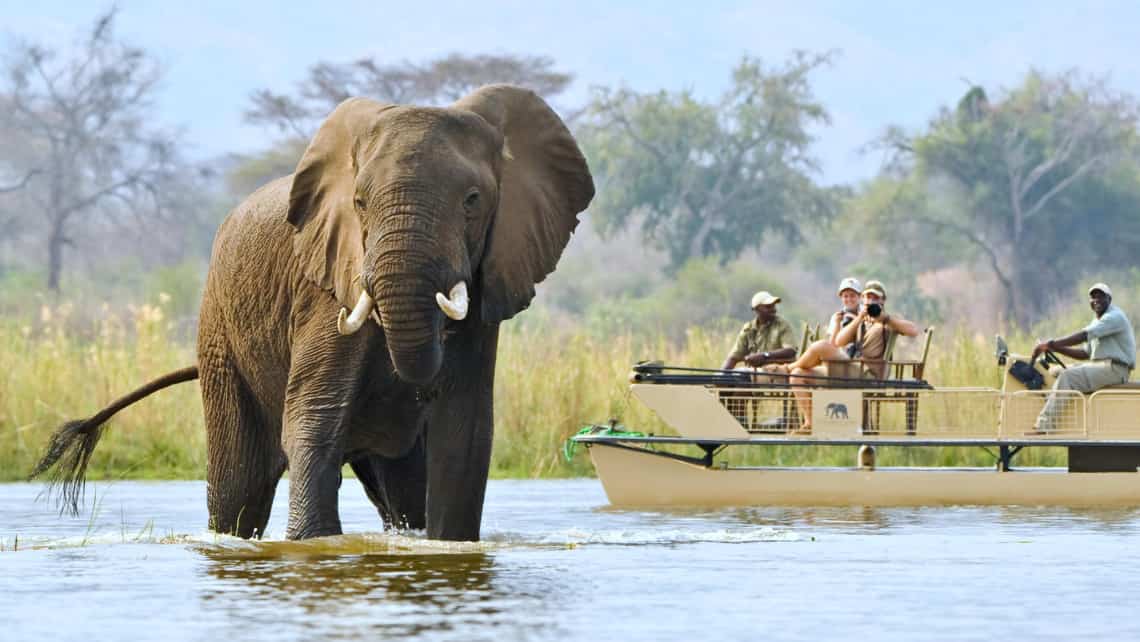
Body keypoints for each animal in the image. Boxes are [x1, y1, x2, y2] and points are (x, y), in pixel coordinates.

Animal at [28, 84, 597, 542]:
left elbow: (464, 431)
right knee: (240, 485)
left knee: (401, 488)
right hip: (219, 335)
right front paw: (314, 547)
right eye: (361, 203)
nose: (416, 385)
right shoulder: (323, 292)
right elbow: (313, 417)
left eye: (473, 201)